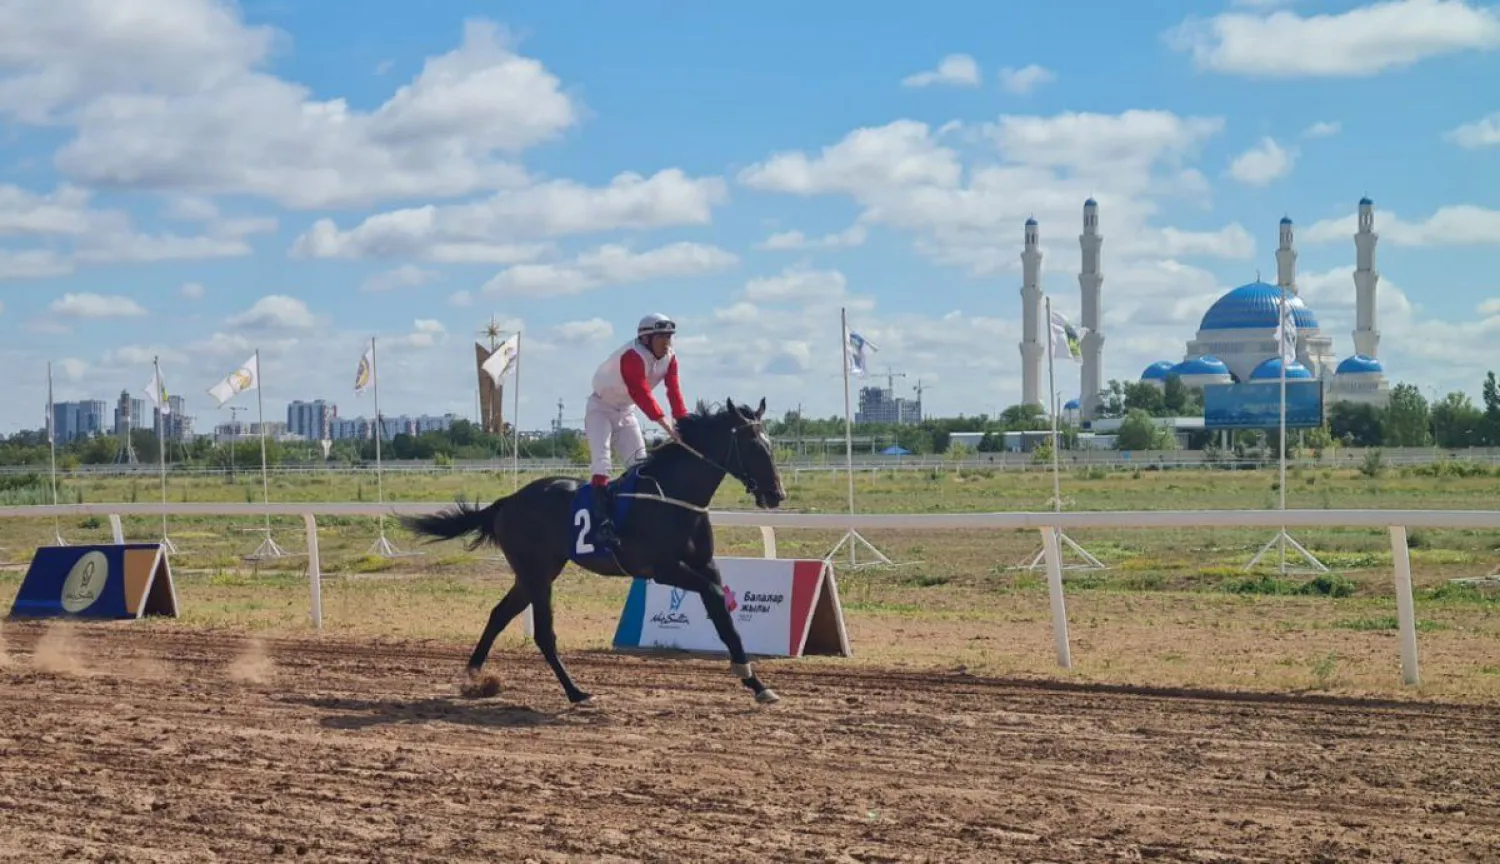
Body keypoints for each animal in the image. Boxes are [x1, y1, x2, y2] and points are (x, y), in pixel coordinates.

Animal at [399, 399, 798, 708]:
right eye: (752, 445)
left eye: (771, 444)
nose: (776, 494)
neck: (674, 497)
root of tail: (506, 502)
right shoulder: (663, 569)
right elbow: (715, 598)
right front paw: (747, 675)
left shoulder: (705, 565)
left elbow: (724, 617)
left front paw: (756, 684)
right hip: (538, 574)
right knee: (543, 633)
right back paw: (575, 692)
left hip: (534, 574)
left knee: (499, 615)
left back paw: (473, 677)